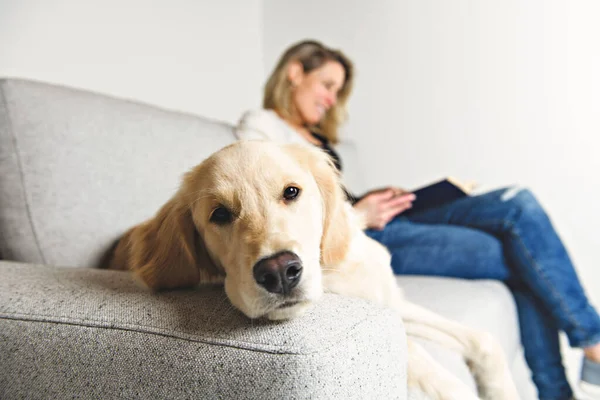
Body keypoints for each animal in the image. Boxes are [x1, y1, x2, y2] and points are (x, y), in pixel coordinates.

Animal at [108, 141, 520, 400]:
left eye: (291, 192)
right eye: (219, 214)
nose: (279, 272)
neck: (335, 272)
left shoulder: (393, 303)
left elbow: (484, 340)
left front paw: (501, 387)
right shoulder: (392, 330)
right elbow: (435, 373)